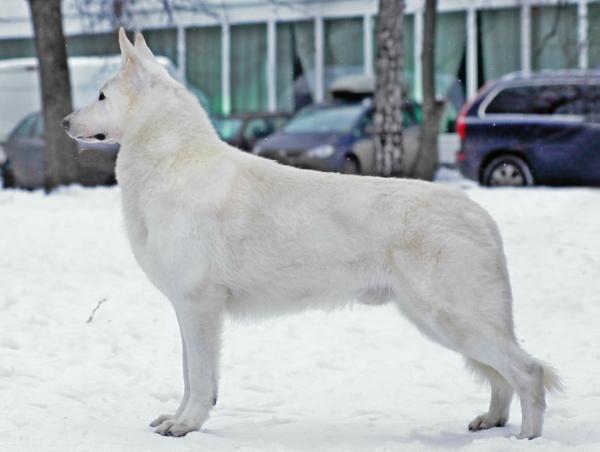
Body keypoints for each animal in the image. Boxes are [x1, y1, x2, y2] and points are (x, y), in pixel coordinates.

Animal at [63, 28, 560, 438]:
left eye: (101, 96)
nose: (66, 123)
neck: (171, 162)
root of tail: (481, 214)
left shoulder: (198, 306)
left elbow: (200, 379)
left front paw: (186, 426)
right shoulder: (187, 311)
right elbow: (190, 376)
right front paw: (179, 418)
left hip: (453, 320)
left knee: (528, 371)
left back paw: (526, 437)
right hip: (443, 323)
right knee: (502, 378)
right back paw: (492, 421)